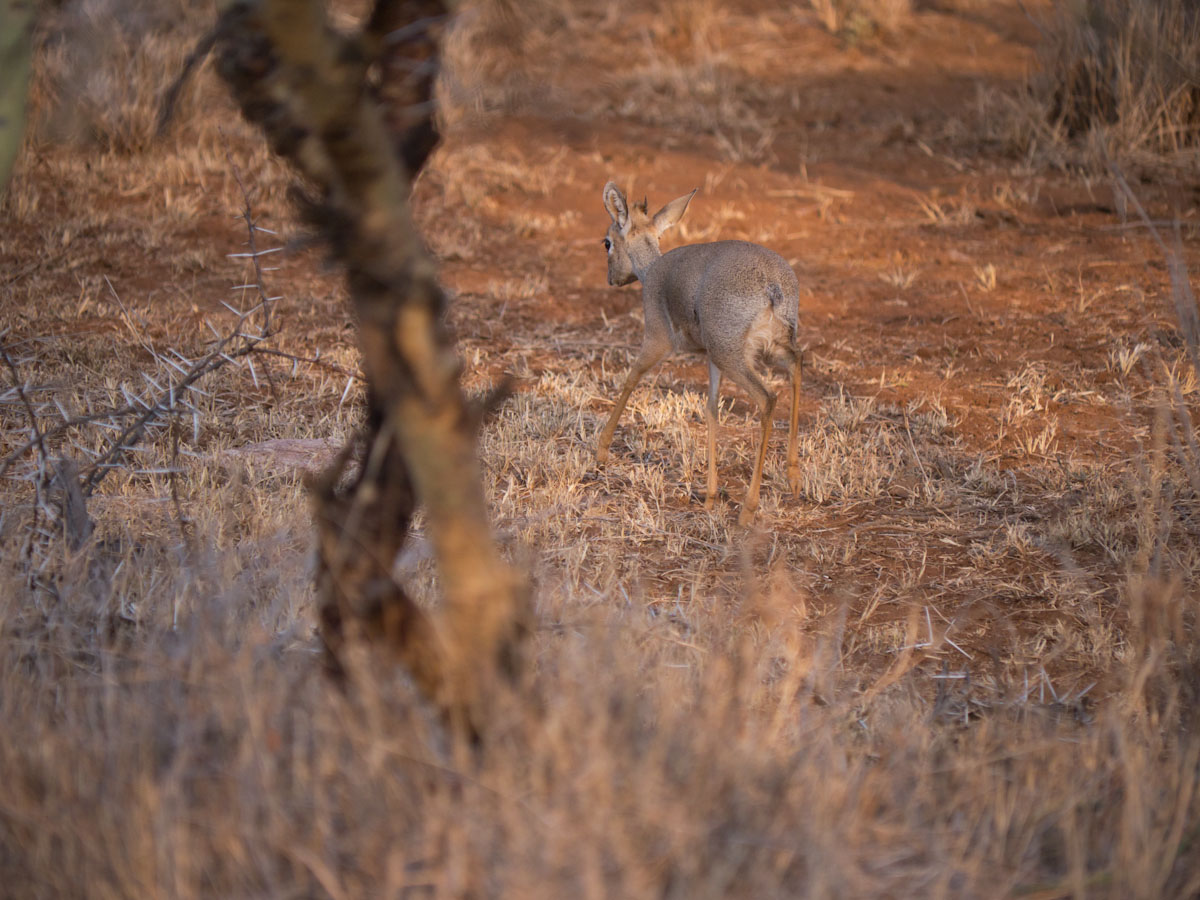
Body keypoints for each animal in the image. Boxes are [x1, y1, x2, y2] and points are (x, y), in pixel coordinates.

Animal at [595, 181, 804, 525]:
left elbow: (630, 379)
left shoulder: (657, 340)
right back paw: (793, 477)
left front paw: (600, 450)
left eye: (607, 242)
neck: (651, 271)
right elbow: (711, 411)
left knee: (768, 398)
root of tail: (773, 286)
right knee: (797, 366)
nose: (611, 279)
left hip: (733, 356)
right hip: (766, 349)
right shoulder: (709, 359)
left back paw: (748, 508)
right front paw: (709, 495)